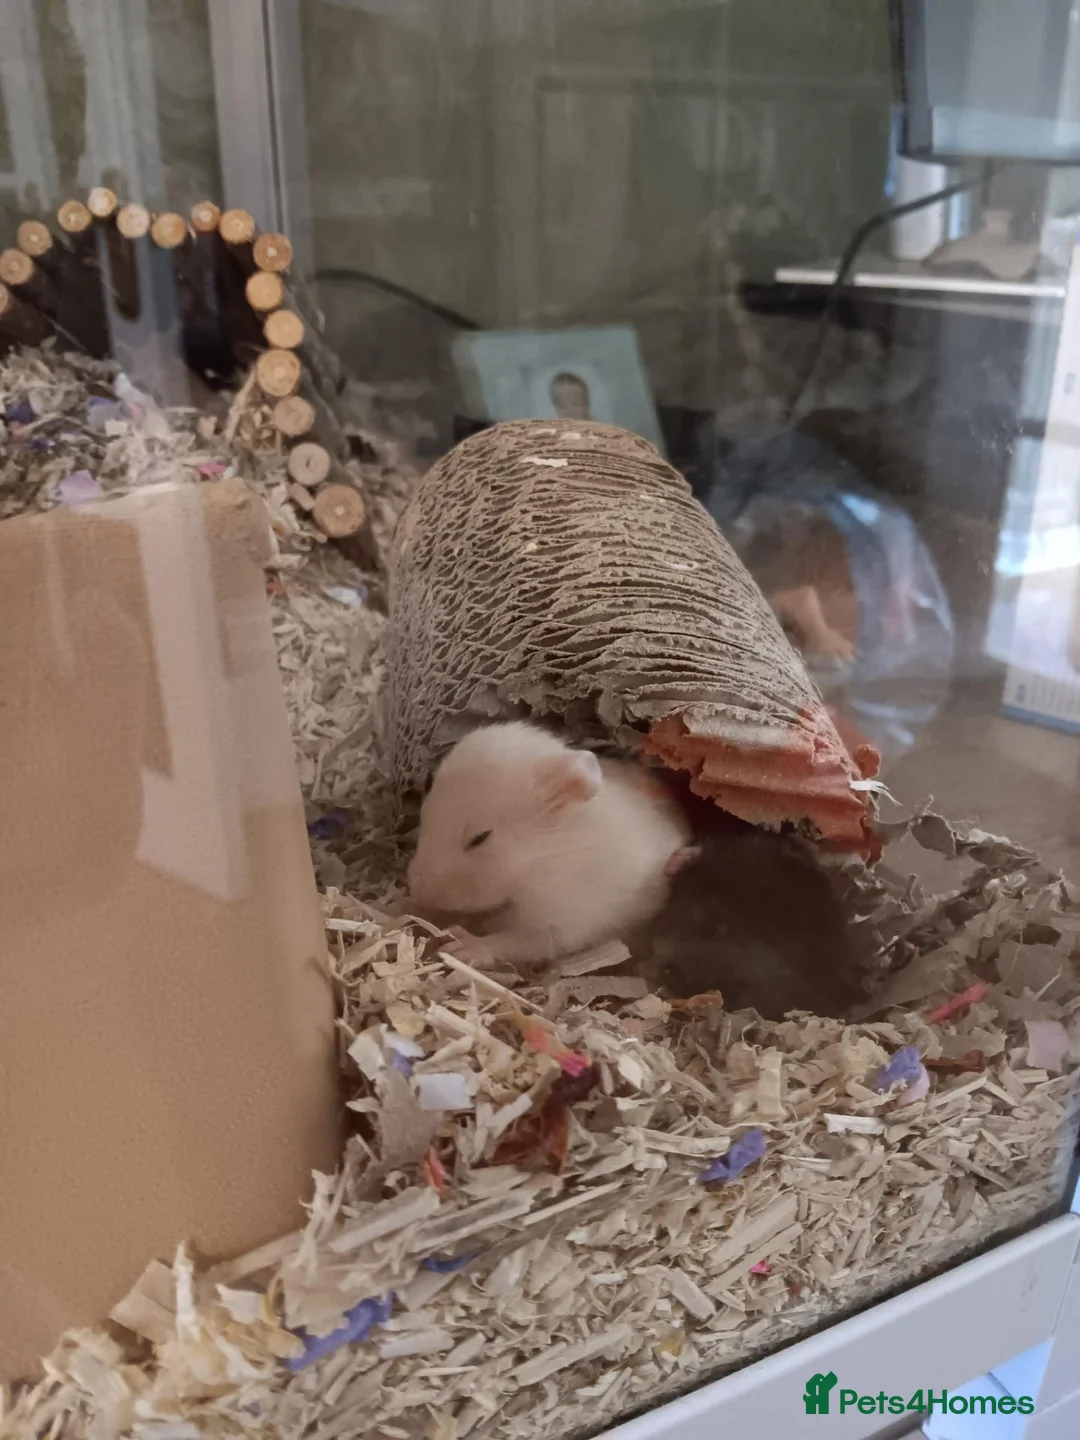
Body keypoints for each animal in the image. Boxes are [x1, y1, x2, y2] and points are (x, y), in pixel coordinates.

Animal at [406, 721, 693, 964]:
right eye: (424, 816)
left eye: (480, 838)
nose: (416, 892)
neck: (543, 860)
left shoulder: (562, 920)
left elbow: (516, 941)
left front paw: (459, 946)